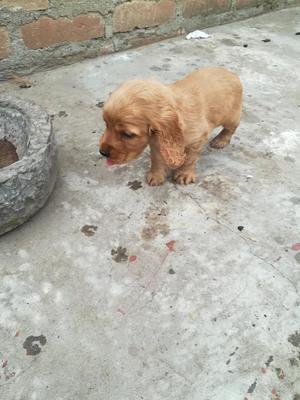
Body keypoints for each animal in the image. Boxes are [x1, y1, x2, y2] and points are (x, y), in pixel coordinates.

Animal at [99, 67, 243, 186]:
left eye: (128, 134)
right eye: (106, 124)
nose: (102, 153)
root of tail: (231, 73)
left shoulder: (197, 139)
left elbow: (190, 158)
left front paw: (184, 174)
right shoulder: (156, 142)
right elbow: (156, 158)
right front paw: (156, 176)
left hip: (231, 115)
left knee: (232, 127)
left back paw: (220, 140)